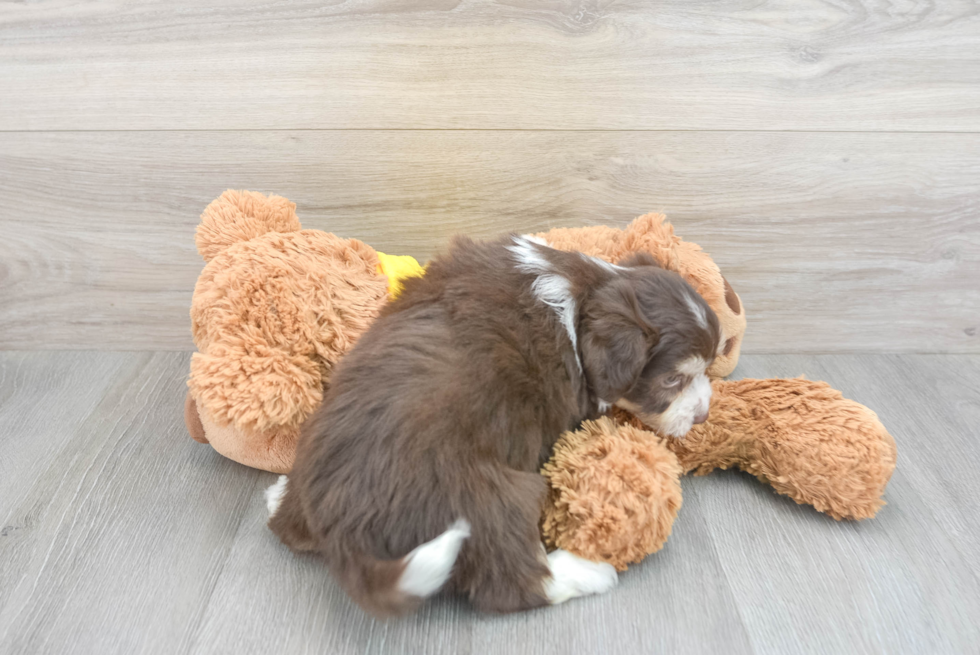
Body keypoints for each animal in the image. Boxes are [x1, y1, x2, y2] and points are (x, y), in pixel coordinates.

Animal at [266, 237, 720, 620]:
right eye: (672, 380)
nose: (702, 415)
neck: (584, 295)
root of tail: (344, 529)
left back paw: (276, 498)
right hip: (492, 499)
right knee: (515, 582)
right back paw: (587, 571)